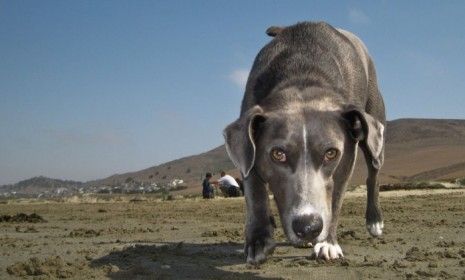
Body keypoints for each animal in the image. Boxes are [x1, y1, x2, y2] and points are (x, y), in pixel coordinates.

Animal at [223, 20, 386, 264]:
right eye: (278, 154)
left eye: (331, 153)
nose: (308, 227)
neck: (302, 77)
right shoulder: (247, 142)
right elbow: (255, 192)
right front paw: (259, 240)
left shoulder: (345, 161)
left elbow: (335, 199)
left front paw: (328, 243)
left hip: (374, 133)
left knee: (373, 174)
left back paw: (374, 221)